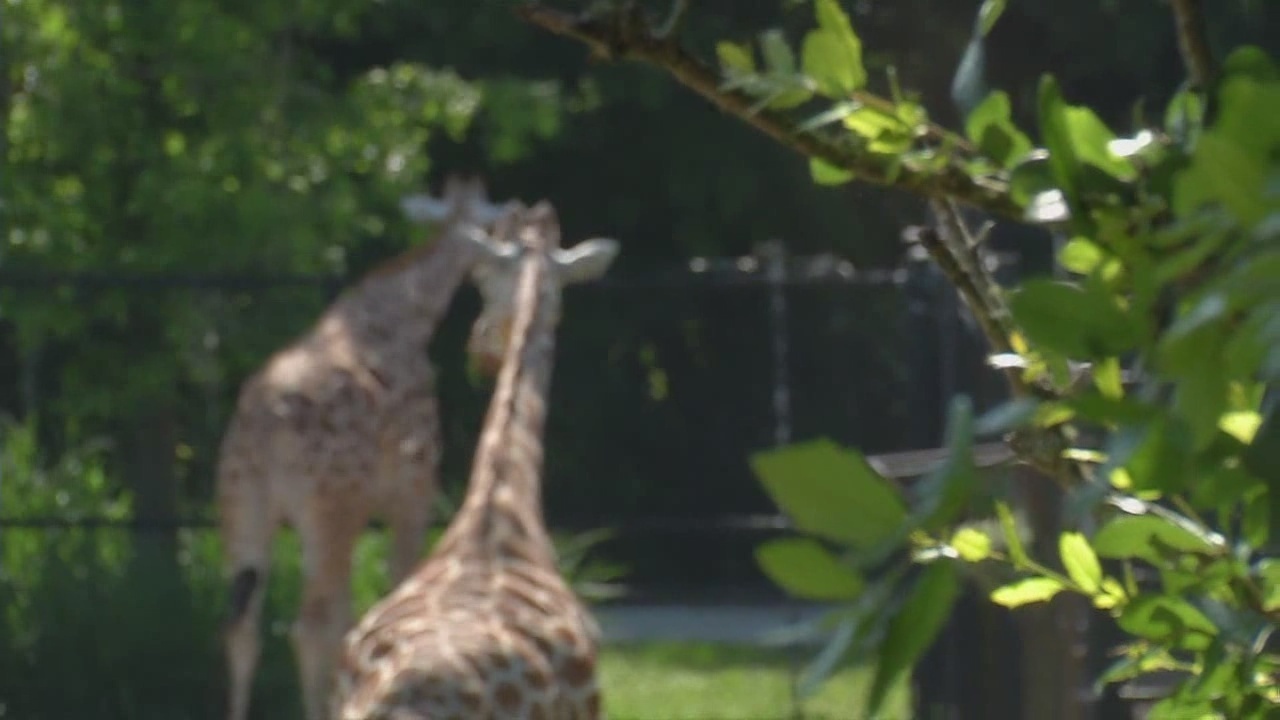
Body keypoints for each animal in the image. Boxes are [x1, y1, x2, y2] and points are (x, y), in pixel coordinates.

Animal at [217, 174, 522, 720]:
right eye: (497, 247)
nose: (487, 354)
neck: (403, 313)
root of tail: (266, 429)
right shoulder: (412, 491)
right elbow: (397, 583)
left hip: (242, 507)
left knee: (242, 627)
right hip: (327, 511)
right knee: (309, 624)